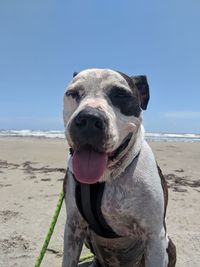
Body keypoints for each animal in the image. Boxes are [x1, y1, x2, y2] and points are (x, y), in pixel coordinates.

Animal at [61, 69, 176, 267]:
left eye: (121, 94)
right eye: (73, 93)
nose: (89, 119)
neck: (106, 178)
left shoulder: (155, 237)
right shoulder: (73, 228)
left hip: (169, 245)